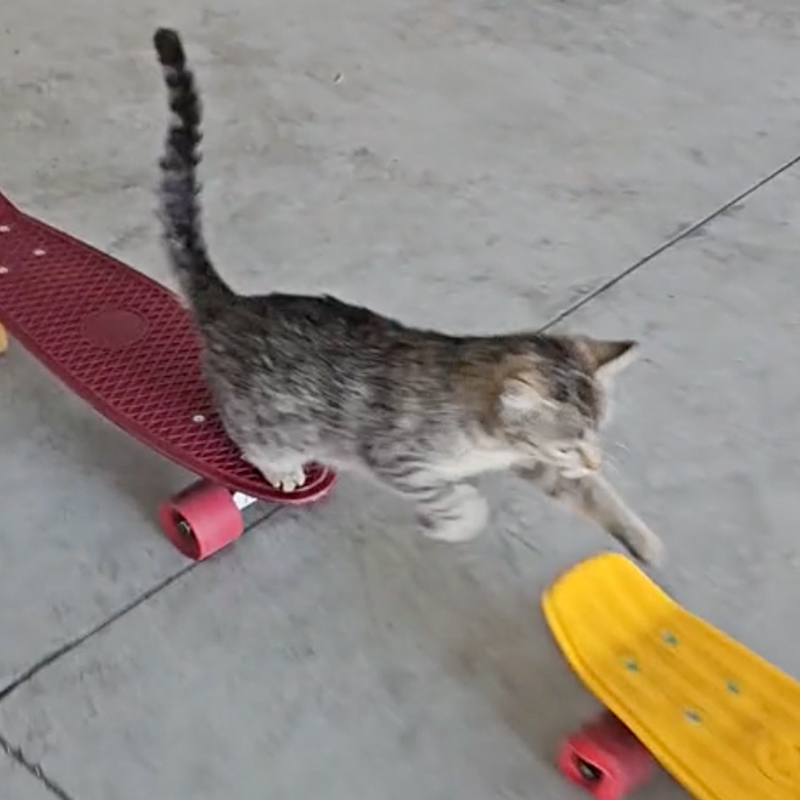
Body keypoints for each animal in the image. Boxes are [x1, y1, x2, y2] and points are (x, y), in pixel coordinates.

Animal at [150, 28, 664, 564]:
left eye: (593, 439)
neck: (481, 433)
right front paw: (452, 523)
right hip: (264, 417)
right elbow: (455, 499)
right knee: (251, 434)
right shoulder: (398, 457)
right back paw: (281, 466)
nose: (593, 460)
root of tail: (233, 303)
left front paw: (641, 539)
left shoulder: (526, 456)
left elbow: (590, 496)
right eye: (569, 445)